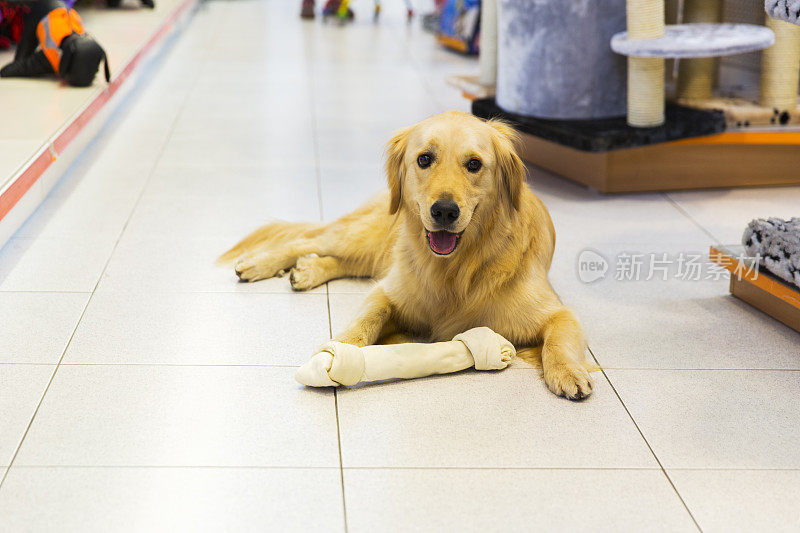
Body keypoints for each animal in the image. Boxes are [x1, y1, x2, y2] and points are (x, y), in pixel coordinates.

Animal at [219, 110, 592, 396]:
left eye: (474, 164)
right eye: (424, 159)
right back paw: (258, 264)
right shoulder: (389, 291)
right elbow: (367, 318)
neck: (453, 268)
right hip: (363, 236)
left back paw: (307, 272)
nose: (445, 211)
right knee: (307, 240)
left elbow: (559, 339)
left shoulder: (557, 312)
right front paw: (341, 349)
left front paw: (568, 372)